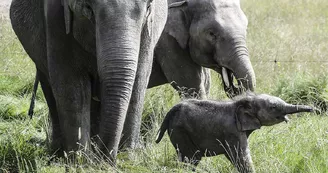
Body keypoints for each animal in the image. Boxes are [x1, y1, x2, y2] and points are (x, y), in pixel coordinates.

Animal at [9, 0, 168, 160]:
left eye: (148, 7)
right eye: (88, 8)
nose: (104, 157)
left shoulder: (148, 32)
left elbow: (138, 81)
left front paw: (127, 158)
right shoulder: (55, 19)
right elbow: (72, 86)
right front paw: (81, 161)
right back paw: (58, 154)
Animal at [155, 94, 314, 172]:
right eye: (273, 107)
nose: (313, 109)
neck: (245, 101)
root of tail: (170, 111)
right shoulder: (232, 131)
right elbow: (240, 156)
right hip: (180, 130)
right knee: (191, 158)